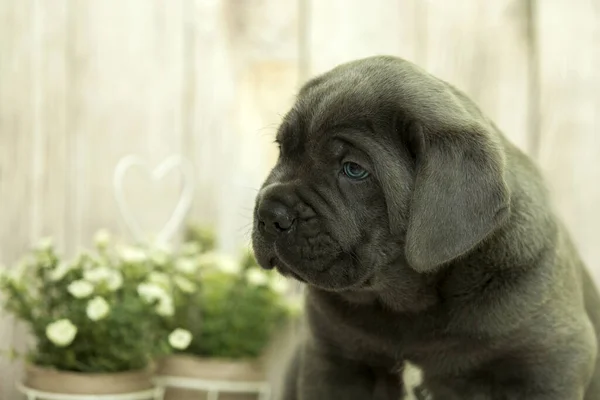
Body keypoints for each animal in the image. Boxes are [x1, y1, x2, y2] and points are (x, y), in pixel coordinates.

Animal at [251, 56, 600, 400]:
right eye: (282, 149)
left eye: (353, 169)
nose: (270, 213)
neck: (409, 306)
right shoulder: (334, 360)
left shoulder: (547, 365)